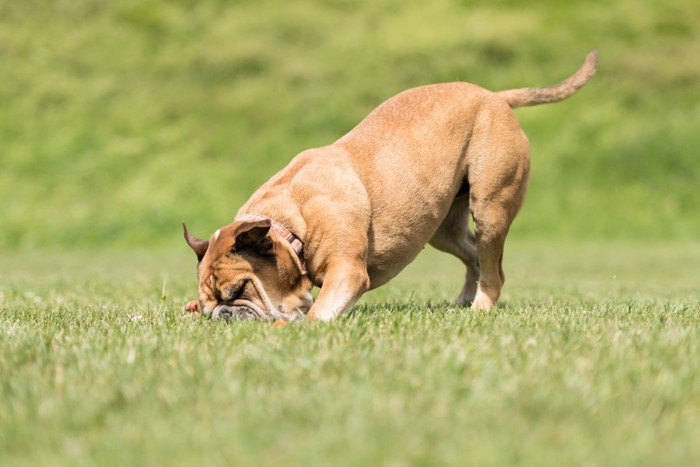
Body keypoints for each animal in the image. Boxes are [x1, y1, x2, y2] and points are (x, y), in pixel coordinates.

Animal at [185, 50, 596, 322]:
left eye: (239, 290)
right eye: (209, 304)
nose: (222, 315)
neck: (289, 222)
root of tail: (495, 97)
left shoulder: (347, 272)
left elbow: (318, 313)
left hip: (491, 208)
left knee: (493, 264)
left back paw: (481, 305)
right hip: (441, 228)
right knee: (474, 255)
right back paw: (463, 300)